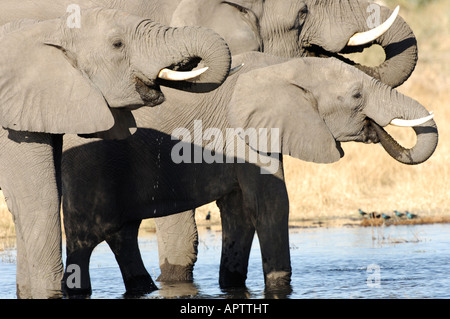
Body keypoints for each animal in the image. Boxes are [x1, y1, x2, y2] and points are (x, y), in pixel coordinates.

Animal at [61, 52, 438, 298]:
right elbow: (271, 203)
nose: (376, 129)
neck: (286, 68)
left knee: (121, 233)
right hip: (89, 163)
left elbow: (239, 210)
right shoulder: (246, 131)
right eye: (357, 96)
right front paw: (281, 287)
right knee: (86, 236)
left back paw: (144, 288)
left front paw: (231, 286)